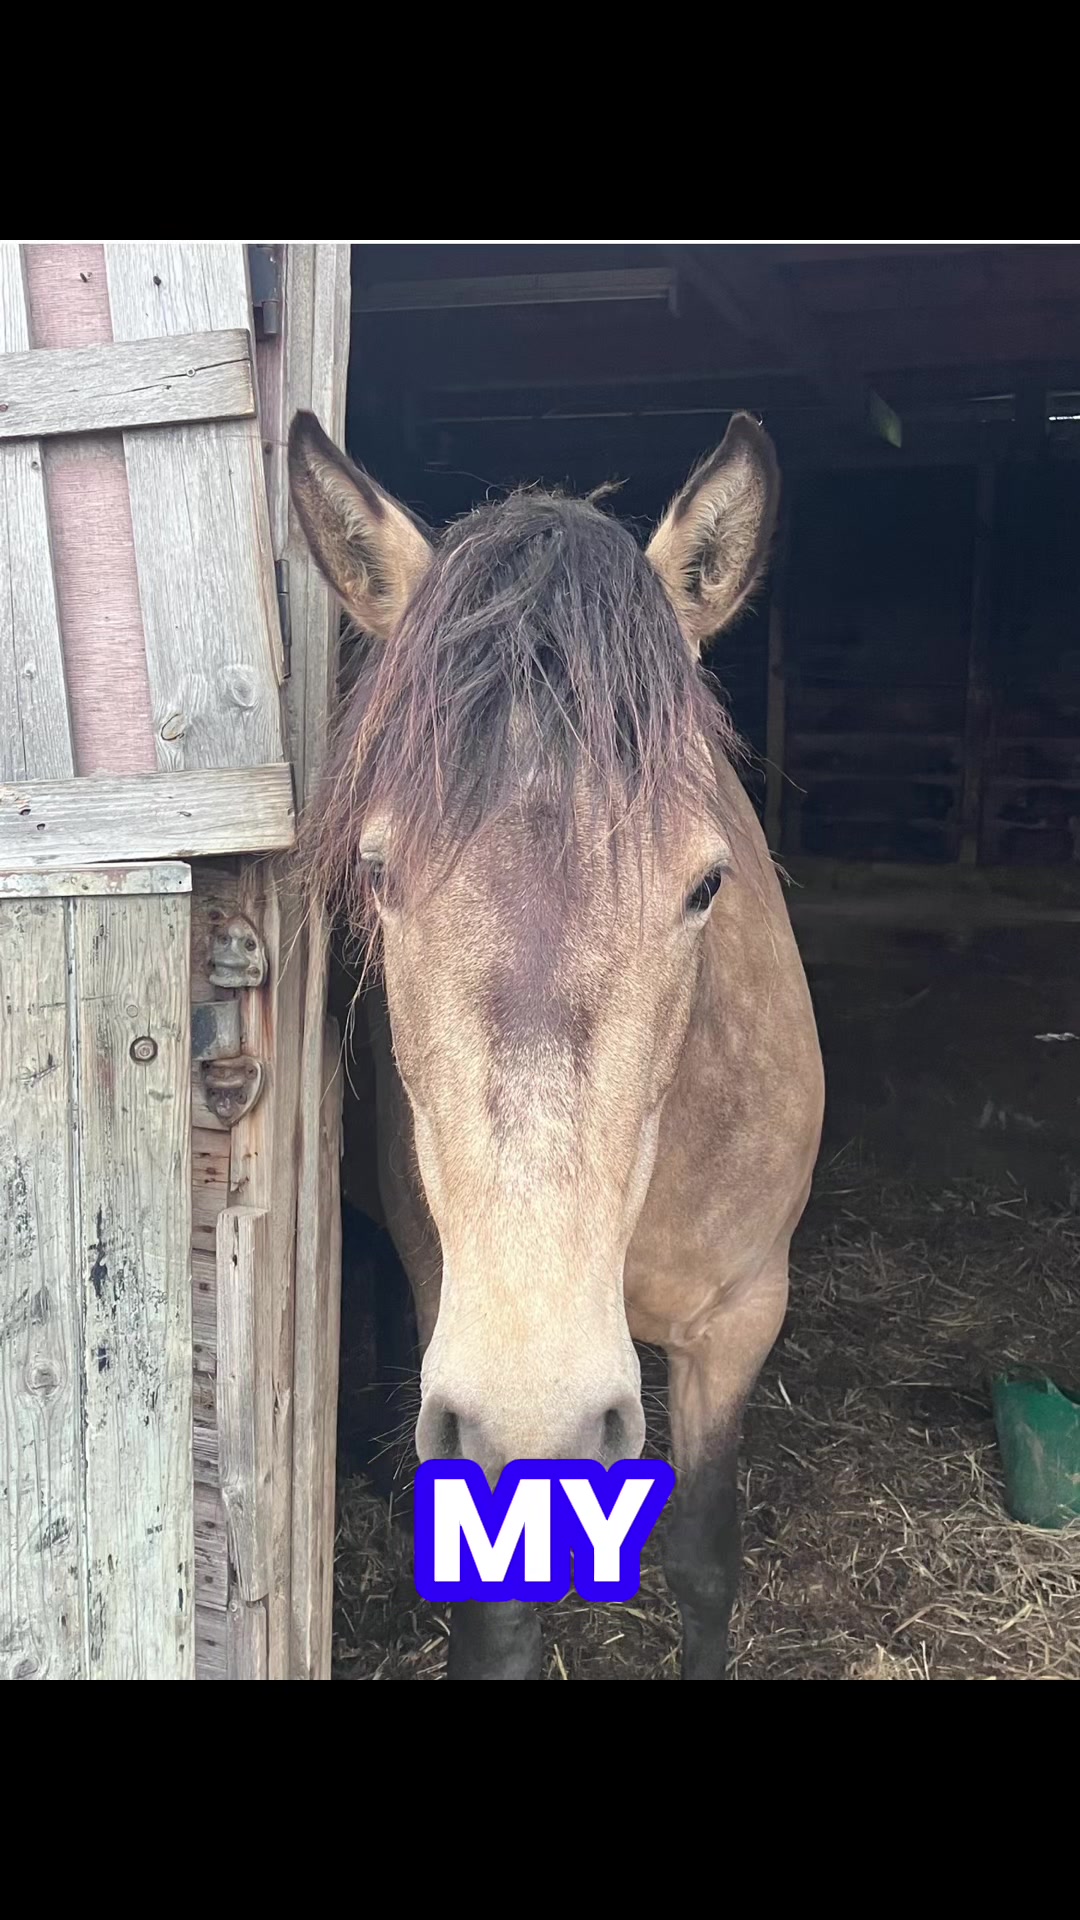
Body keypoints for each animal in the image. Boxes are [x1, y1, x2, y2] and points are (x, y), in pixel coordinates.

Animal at [288, 409, 824, 1680]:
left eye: (707, 884)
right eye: (376, 876)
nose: (543, 1418)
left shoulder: (742, 1319)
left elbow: (706, 1562)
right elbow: (498, 1619)